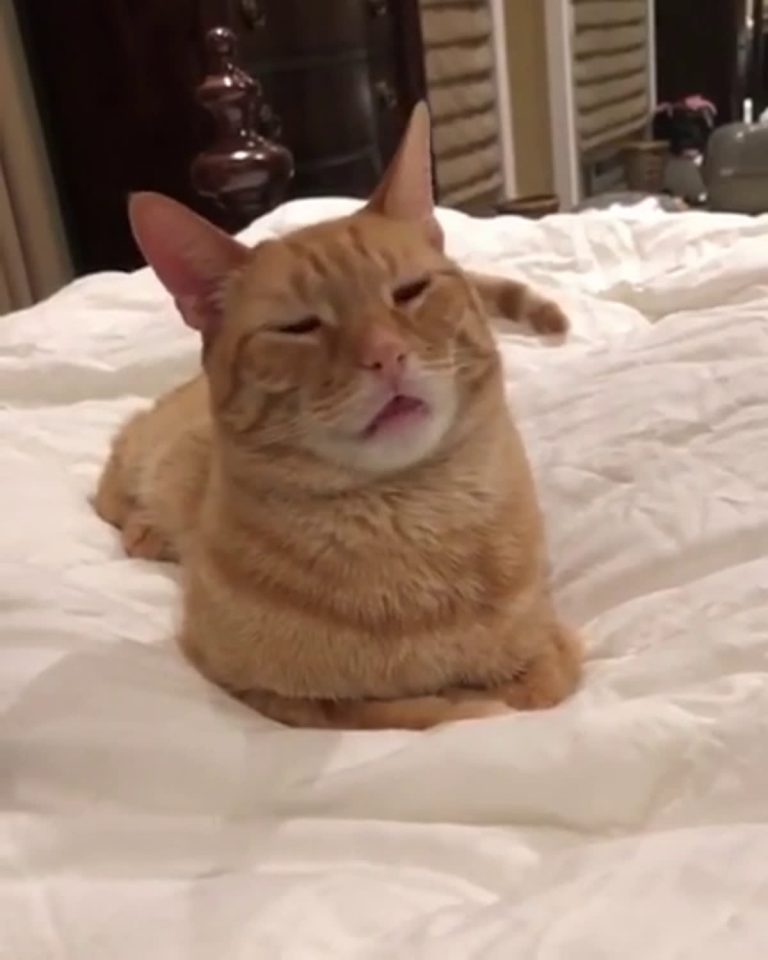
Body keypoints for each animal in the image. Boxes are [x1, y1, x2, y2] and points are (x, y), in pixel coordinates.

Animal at [94, 102, 582, 730]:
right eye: (299, 327)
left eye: (410, 291)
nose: (386, 354)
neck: (413, 516)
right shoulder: (258, 691)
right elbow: (409, 711)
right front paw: (461, 701)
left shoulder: (552, 647)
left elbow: (538, 686)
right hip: (140, 456)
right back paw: (146, 528)